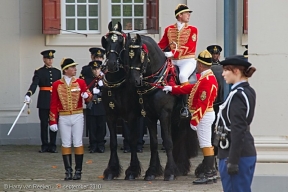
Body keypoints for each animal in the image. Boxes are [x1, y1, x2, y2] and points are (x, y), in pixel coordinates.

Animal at [100, 21, 142, 180]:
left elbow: (132, 139)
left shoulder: (132, 115)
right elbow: (112, 142)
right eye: (106, 42)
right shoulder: (110, 116)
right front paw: (112, 169)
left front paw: (132, 170)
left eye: (119, 42)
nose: (112, 64)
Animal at [127, 34, 199, 180]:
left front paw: (170, 172)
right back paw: (181, 167)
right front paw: (151, 172)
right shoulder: (149, 115)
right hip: (179, 120)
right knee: (181, 137)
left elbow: (167, 142)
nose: (133, 81)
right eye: (128, 54)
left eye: (140, 55)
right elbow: (154, 143)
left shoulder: (164, 114)